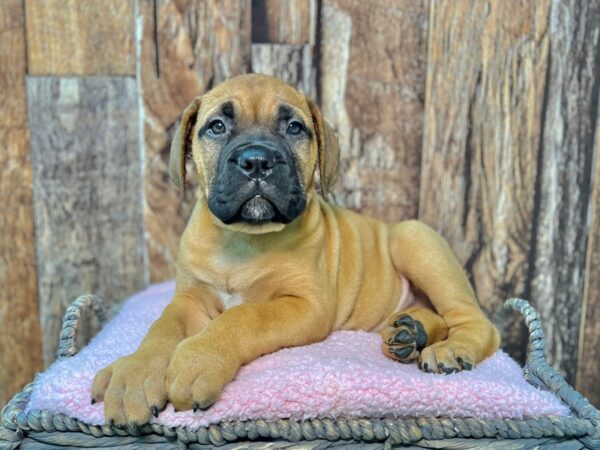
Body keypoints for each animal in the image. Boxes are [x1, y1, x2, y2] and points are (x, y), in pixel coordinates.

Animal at [90, 74, 502, 426]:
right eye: (217, 126)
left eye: (294, 128)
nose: (257, 160)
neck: (243, 239)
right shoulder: (189, 300)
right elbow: (161, 329)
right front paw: (133, 375)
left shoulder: (307, 305)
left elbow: (243, 317)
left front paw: (197, 360)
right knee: (437, 316)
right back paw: (409, 333)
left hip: (414, 239)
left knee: (476, 321)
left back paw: (450, 349)